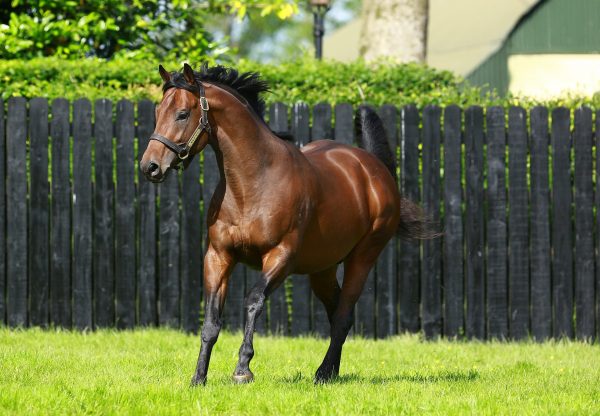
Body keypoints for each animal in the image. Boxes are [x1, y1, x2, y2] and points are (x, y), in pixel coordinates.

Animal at [140, 63, 432, 386]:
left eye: (182, 114)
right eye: (158, 112)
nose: (150, 166)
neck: (252, 183)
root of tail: (374, 170)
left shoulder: (281, 256)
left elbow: (253, 300)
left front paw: (243, 369)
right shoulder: (218, 256)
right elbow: (211, 321)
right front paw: (198, 378)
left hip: (362, 258)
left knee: (344, 315)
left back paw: (322, 373)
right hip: (322, 269)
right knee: (337, 313)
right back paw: (330, 372)